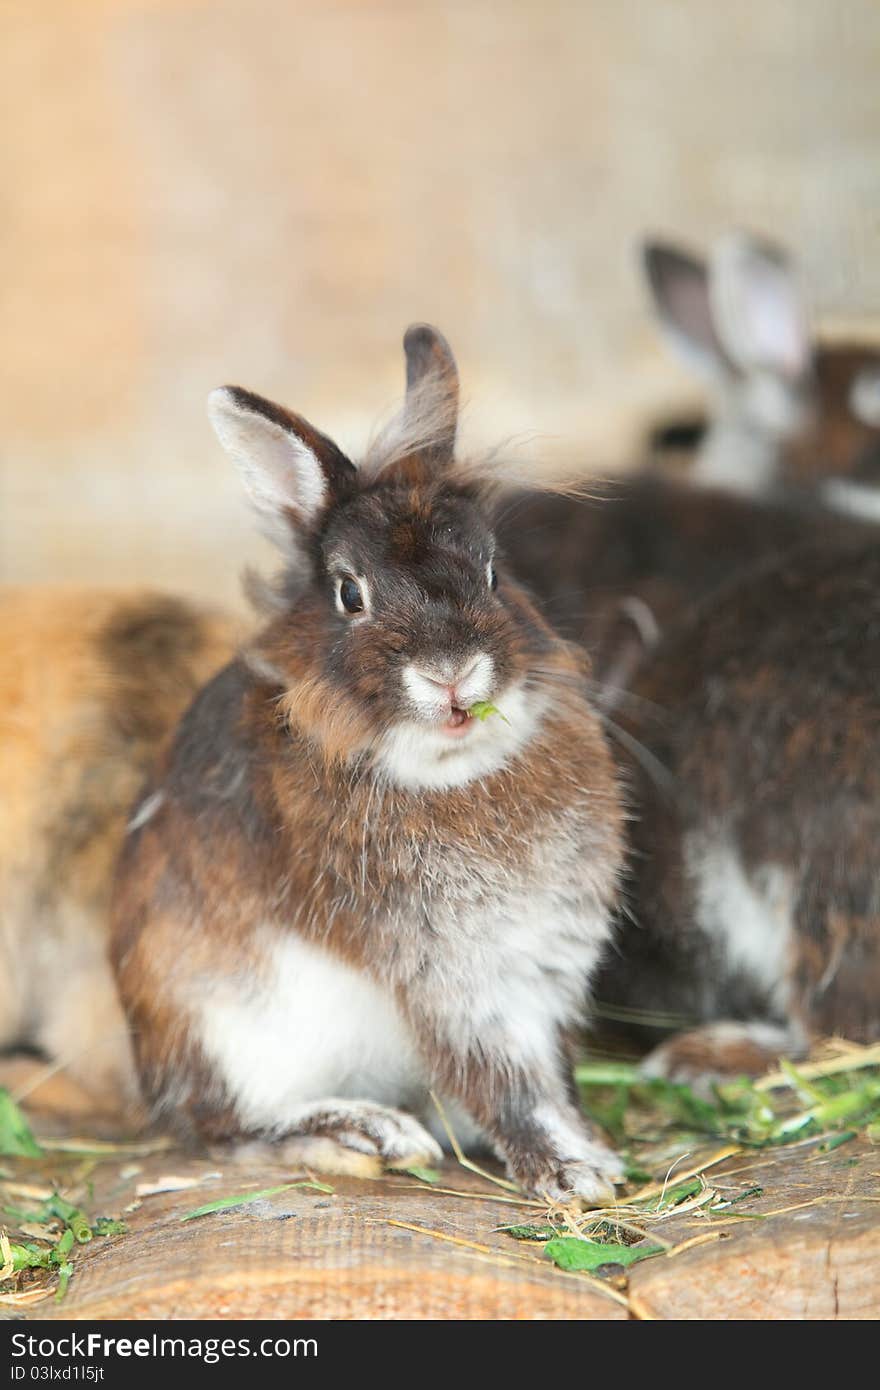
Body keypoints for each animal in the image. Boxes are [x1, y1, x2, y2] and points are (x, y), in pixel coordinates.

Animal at [108, 328, 625, 1206]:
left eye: (494, 572)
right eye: (352, 594)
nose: (452, 672)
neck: (449, 771)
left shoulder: (543, 964)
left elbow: (548, 1074)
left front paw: (588, 1147)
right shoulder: (449, 974)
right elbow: (506, 1078)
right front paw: (573, 1174)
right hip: (221, 1024)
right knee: (224, 1129)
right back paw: (364, 1131)